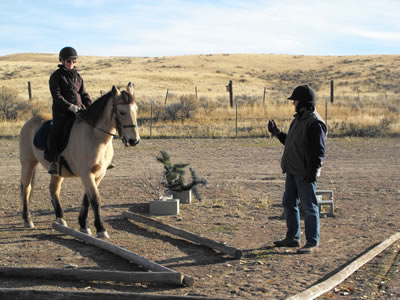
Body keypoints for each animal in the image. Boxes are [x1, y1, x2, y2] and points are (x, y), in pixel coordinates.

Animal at [19, 81, 141, 237]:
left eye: (136, 110)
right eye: (122, 112)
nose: (134, 141)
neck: (95, 136)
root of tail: (29, 121)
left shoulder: (99, 174)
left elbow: (87, 199)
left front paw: (83, 225)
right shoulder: (86, 173)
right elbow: (95, 199)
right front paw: (101, 229)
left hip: (56, 172)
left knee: (53, 189)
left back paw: (60, 218)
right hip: (28, 163)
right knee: (26, 188)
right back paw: (27, 220)